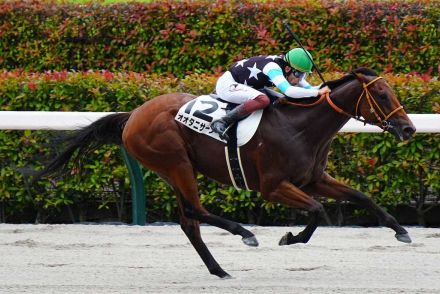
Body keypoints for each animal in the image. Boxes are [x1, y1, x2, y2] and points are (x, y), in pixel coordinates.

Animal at [37, 68, 416, 278]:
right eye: (382, 94)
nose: (409, 128)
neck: (301, 127)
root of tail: (133, 115)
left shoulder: (314, 179)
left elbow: (362, 197)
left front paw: (401, 230)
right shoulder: (273, 186)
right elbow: (318, 211)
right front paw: (290, 237)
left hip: (172, 169)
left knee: (188, 220)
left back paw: (219, 269)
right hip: (175, 162)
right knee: (196, 210)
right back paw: (244, 233)